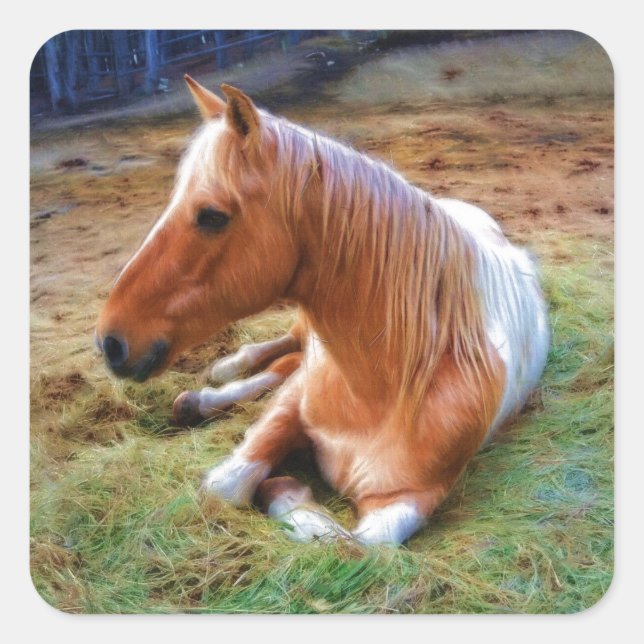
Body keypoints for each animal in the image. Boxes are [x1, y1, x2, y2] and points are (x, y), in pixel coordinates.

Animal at [95, 76, 549, 545]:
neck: (383, 388)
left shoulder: (408, 499)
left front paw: (287, 491)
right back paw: (221, 374)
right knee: (284, 352)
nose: (110, 341)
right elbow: (228, 483)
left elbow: (355, 545)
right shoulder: (291, 406)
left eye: (212, 216)